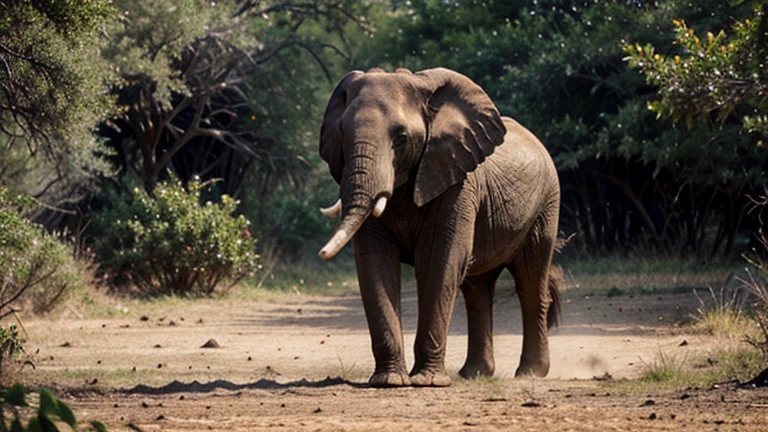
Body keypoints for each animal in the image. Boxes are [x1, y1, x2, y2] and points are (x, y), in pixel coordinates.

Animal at [316, 67, 560, 388]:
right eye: (342, 134)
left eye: (401, 138)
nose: (320, 254)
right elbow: (376, 263)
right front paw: (388, 381)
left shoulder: (457, 183)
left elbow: (438, 261)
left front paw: (427, 382)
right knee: (477, 290)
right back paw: (475, 374)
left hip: (546, 205)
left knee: (530, 280)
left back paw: (530, 373)